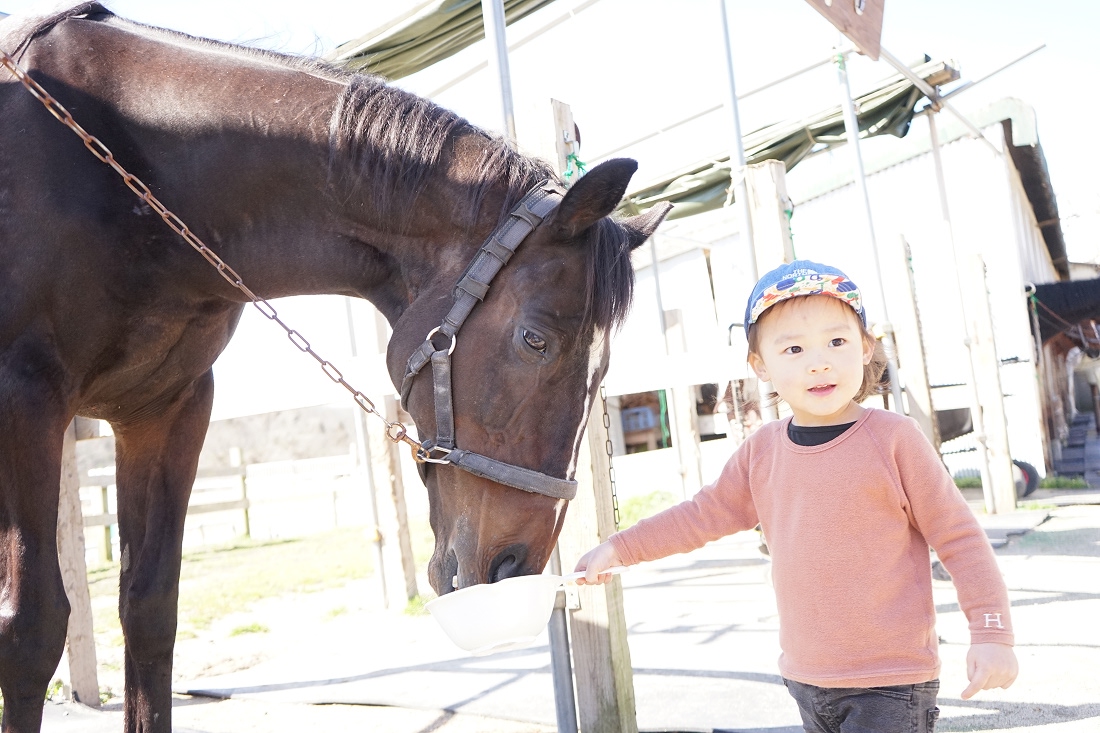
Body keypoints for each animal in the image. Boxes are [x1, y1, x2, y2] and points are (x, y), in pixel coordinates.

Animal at [0, 4, 670, 732]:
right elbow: (30, 627)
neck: (127, 174)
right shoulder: (24, 399)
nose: (512, 564)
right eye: (535, 340)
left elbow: (149, 608)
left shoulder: (167, 410)